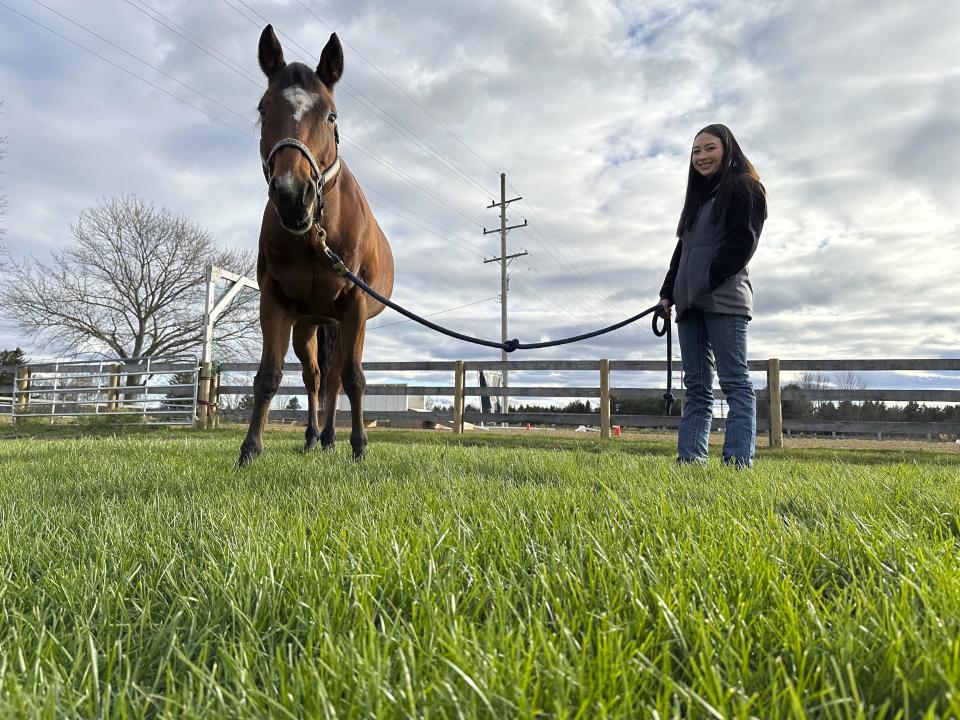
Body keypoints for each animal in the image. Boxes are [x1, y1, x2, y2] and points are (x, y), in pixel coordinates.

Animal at [242, 23, 396, 466]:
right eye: (263, 109)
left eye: (331, 115)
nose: (293, 196)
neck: (315, 234)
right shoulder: (275, 302)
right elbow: (269, 376)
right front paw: (249, 450)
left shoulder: (355, 306)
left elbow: (354, 379)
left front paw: (359, 447)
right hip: (310, 324)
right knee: (316, 379)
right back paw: (315, 436)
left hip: (341, 322)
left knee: (336, 381)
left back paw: (331, 438)